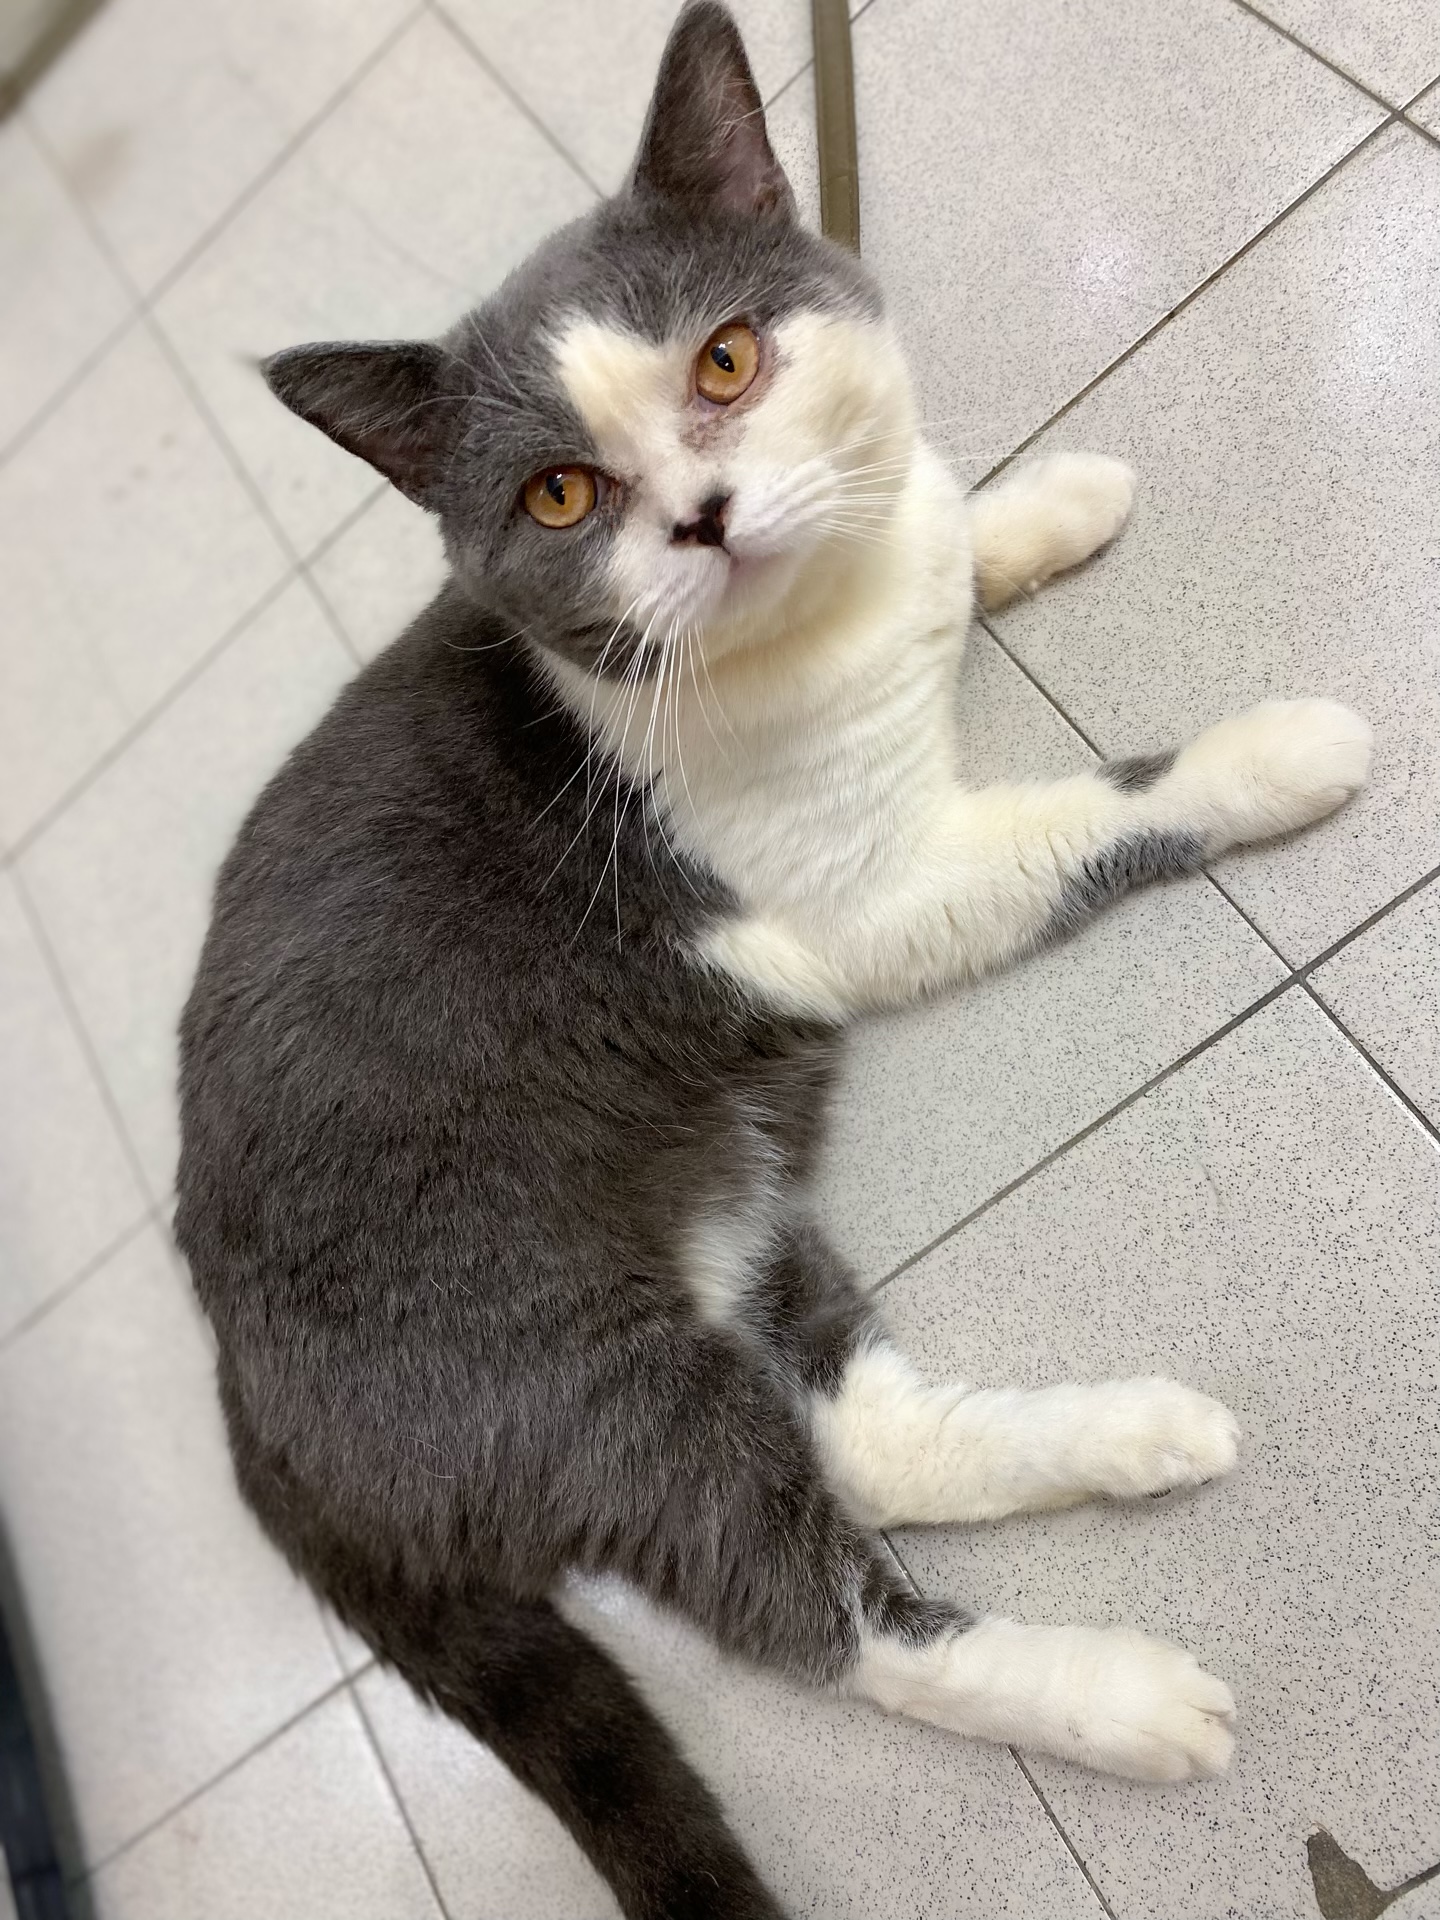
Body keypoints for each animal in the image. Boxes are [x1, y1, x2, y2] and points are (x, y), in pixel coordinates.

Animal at [177, 7, 1374, 1912]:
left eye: (728, 362)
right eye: (564, 492)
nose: (704, 513)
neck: (809, 631)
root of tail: (241, 1396)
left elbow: (946, 536)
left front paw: (1036, 507)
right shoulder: (876, 895)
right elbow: (1096, 814)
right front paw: (1273, 754)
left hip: (734, 1221)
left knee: (863, 1427)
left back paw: (1137, 1432)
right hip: (577, 1371)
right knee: (810, 1608)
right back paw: (1119, 1696)